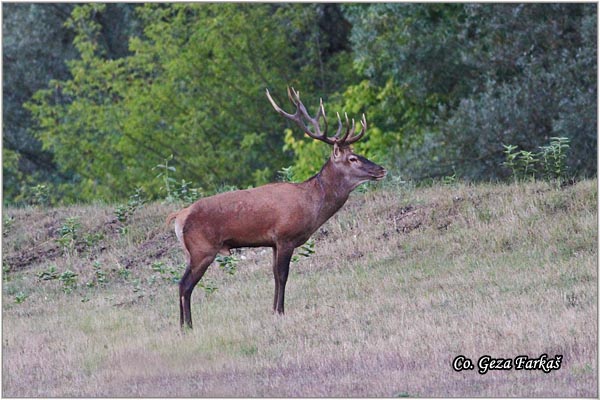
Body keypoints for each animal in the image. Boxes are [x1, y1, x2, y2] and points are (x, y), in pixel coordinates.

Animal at [166, 88, 386, 332]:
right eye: (352, 158)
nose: (381, 169)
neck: (312, 204)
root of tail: (179, 217)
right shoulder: (285, 236)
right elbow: (283, 275)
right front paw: (281, 311)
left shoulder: (272, 243)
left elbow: (273, 274)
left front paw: (273, 310)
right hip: (202, 249)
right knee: (185, 285)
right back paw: (187, 326)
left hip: (193, 252)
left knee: (181, 284)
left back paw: (182, 325)